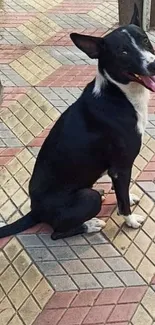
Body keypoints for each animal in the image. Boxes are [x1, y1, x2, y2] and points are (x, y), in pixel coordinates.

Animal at [0, 3, 155, 239]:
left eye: (145, 40)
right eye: (123, 51)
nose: (154, 65)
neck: (118, 93)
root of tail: (35, 211)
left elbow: (122, 194)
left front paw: (129, 196)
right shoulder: (120, 167)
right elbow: (123, 203)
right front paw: (131, 220)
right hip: (87, 198)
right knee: (57, 233)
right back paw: (90, 224)